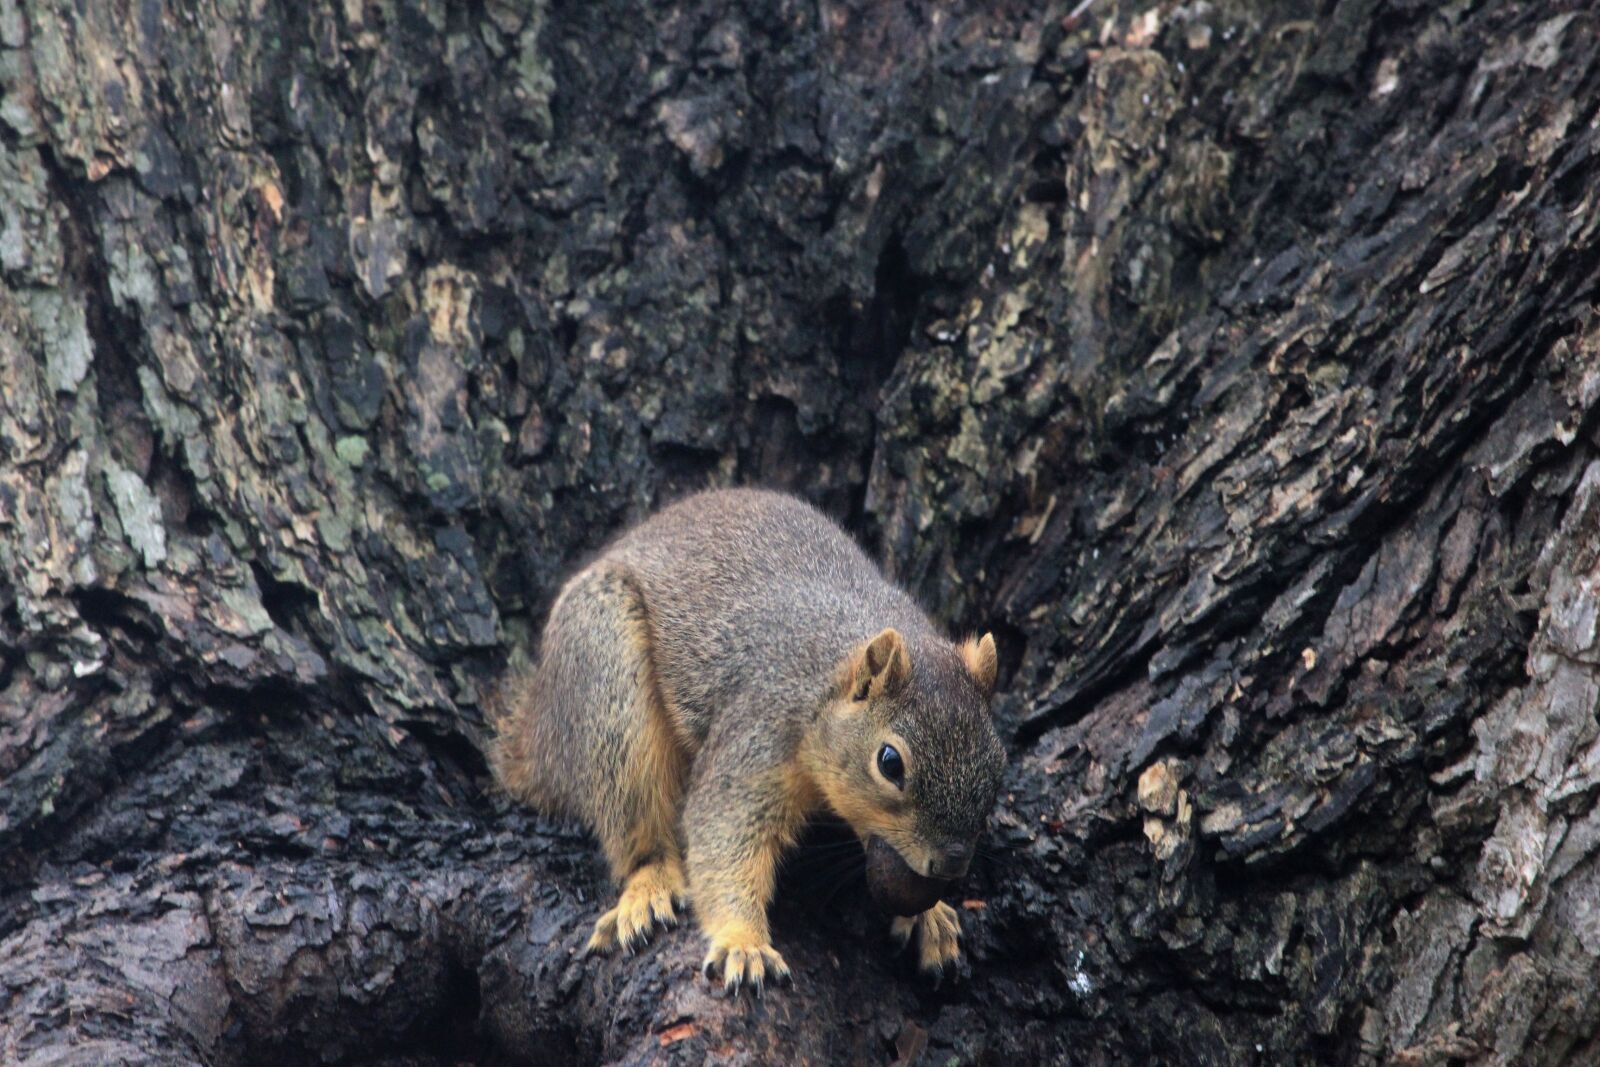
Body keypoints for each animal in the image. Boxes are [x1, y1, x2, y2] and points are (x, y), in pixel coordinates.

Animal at [490, 487, 1005, 990]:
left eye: (999, 764)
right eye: (890, 763)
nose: (951, 863)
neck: (827, 680)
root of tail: (537, 737)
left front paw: (929, 916)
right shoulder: (756, 734)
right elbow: (723, 830)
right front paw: (743, 942)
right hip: (606, 675)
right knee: (635, 828)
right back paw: (649, 886)